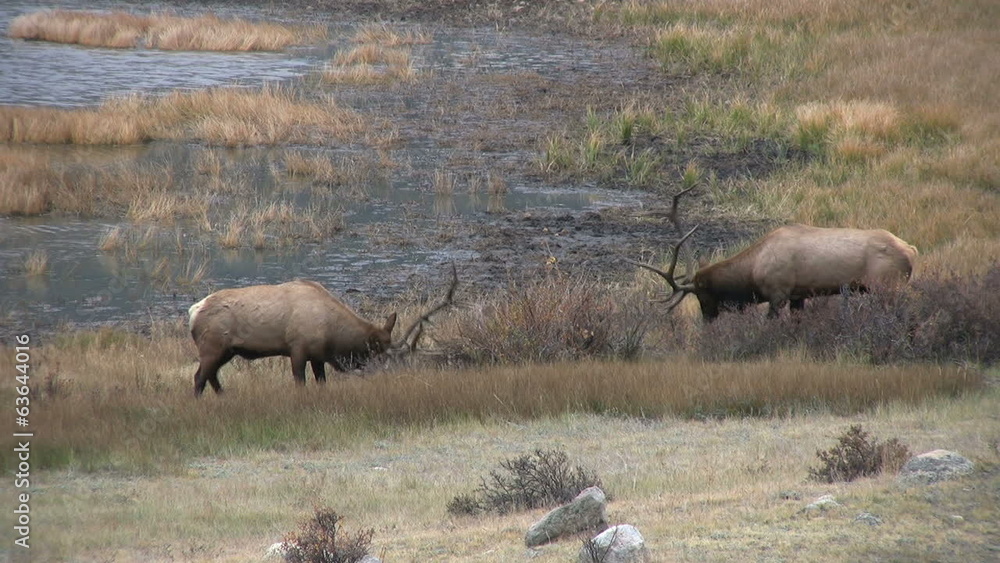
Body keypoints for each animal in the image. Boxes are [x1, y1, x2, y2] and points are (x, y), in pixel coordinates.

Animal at [188, 265, 457, 395]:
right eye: (380, 356)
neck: (333, 333)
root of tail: (193, 312)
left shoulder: (318, 356)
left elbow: (321, 382)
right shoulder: (297, 349)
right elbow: (300, 381)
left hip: (227, 351)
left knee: (211, 376)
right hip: (212, 347)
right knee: (199, 377)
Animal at [628, 188, 918, 321]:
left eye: (702, 291)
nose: (707, 319)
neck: (752, 271)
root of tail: (912, 250)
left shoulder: (778, 294)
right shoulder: (798, 295)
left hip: (886, 285)